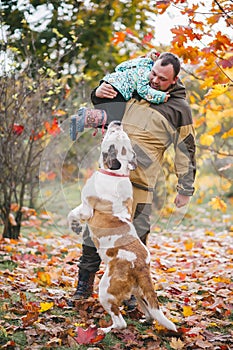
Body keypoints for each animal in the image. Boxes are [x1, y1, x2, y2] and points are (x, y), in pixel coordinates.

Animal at [67, 120, 177, 334]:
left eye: (115, 137)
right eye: (124, 136)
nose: (117, 123)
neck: (116, 172)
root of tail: (141, 265)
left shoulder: (86, 208)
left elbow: (73, 213)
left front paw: (74, 225)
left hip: (106, 291)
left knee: (120, 321)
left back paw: (103, 330)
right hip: (140, 293)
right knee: (150, 312)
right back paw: (145, 320)